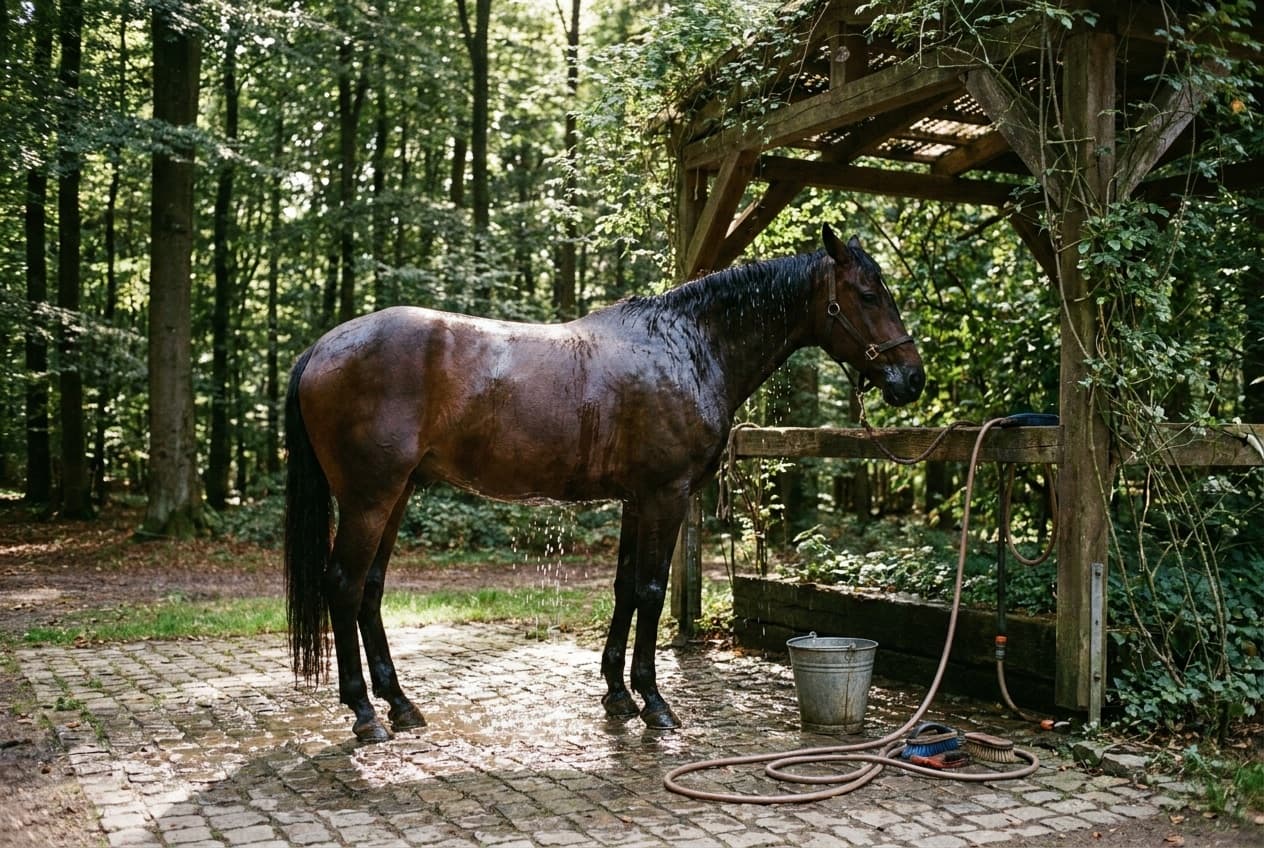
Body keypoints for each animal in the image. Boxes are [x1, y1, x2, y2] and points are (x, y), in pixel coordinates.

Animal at [284, 223, 925, 742]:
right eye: (868, 294)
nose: (911, 379)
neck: (688, 347)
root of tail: (322, 346)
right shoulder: (666, 497)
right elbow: (651, 592)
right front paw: (655, 703)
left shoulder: (637, 501)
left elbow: (624, 589)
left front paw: (618, 695)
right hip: (370, 499)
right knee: (343, 585)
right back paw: (365, 713)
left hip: (394, 496)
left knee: (369, 589)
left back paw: (400, 704)